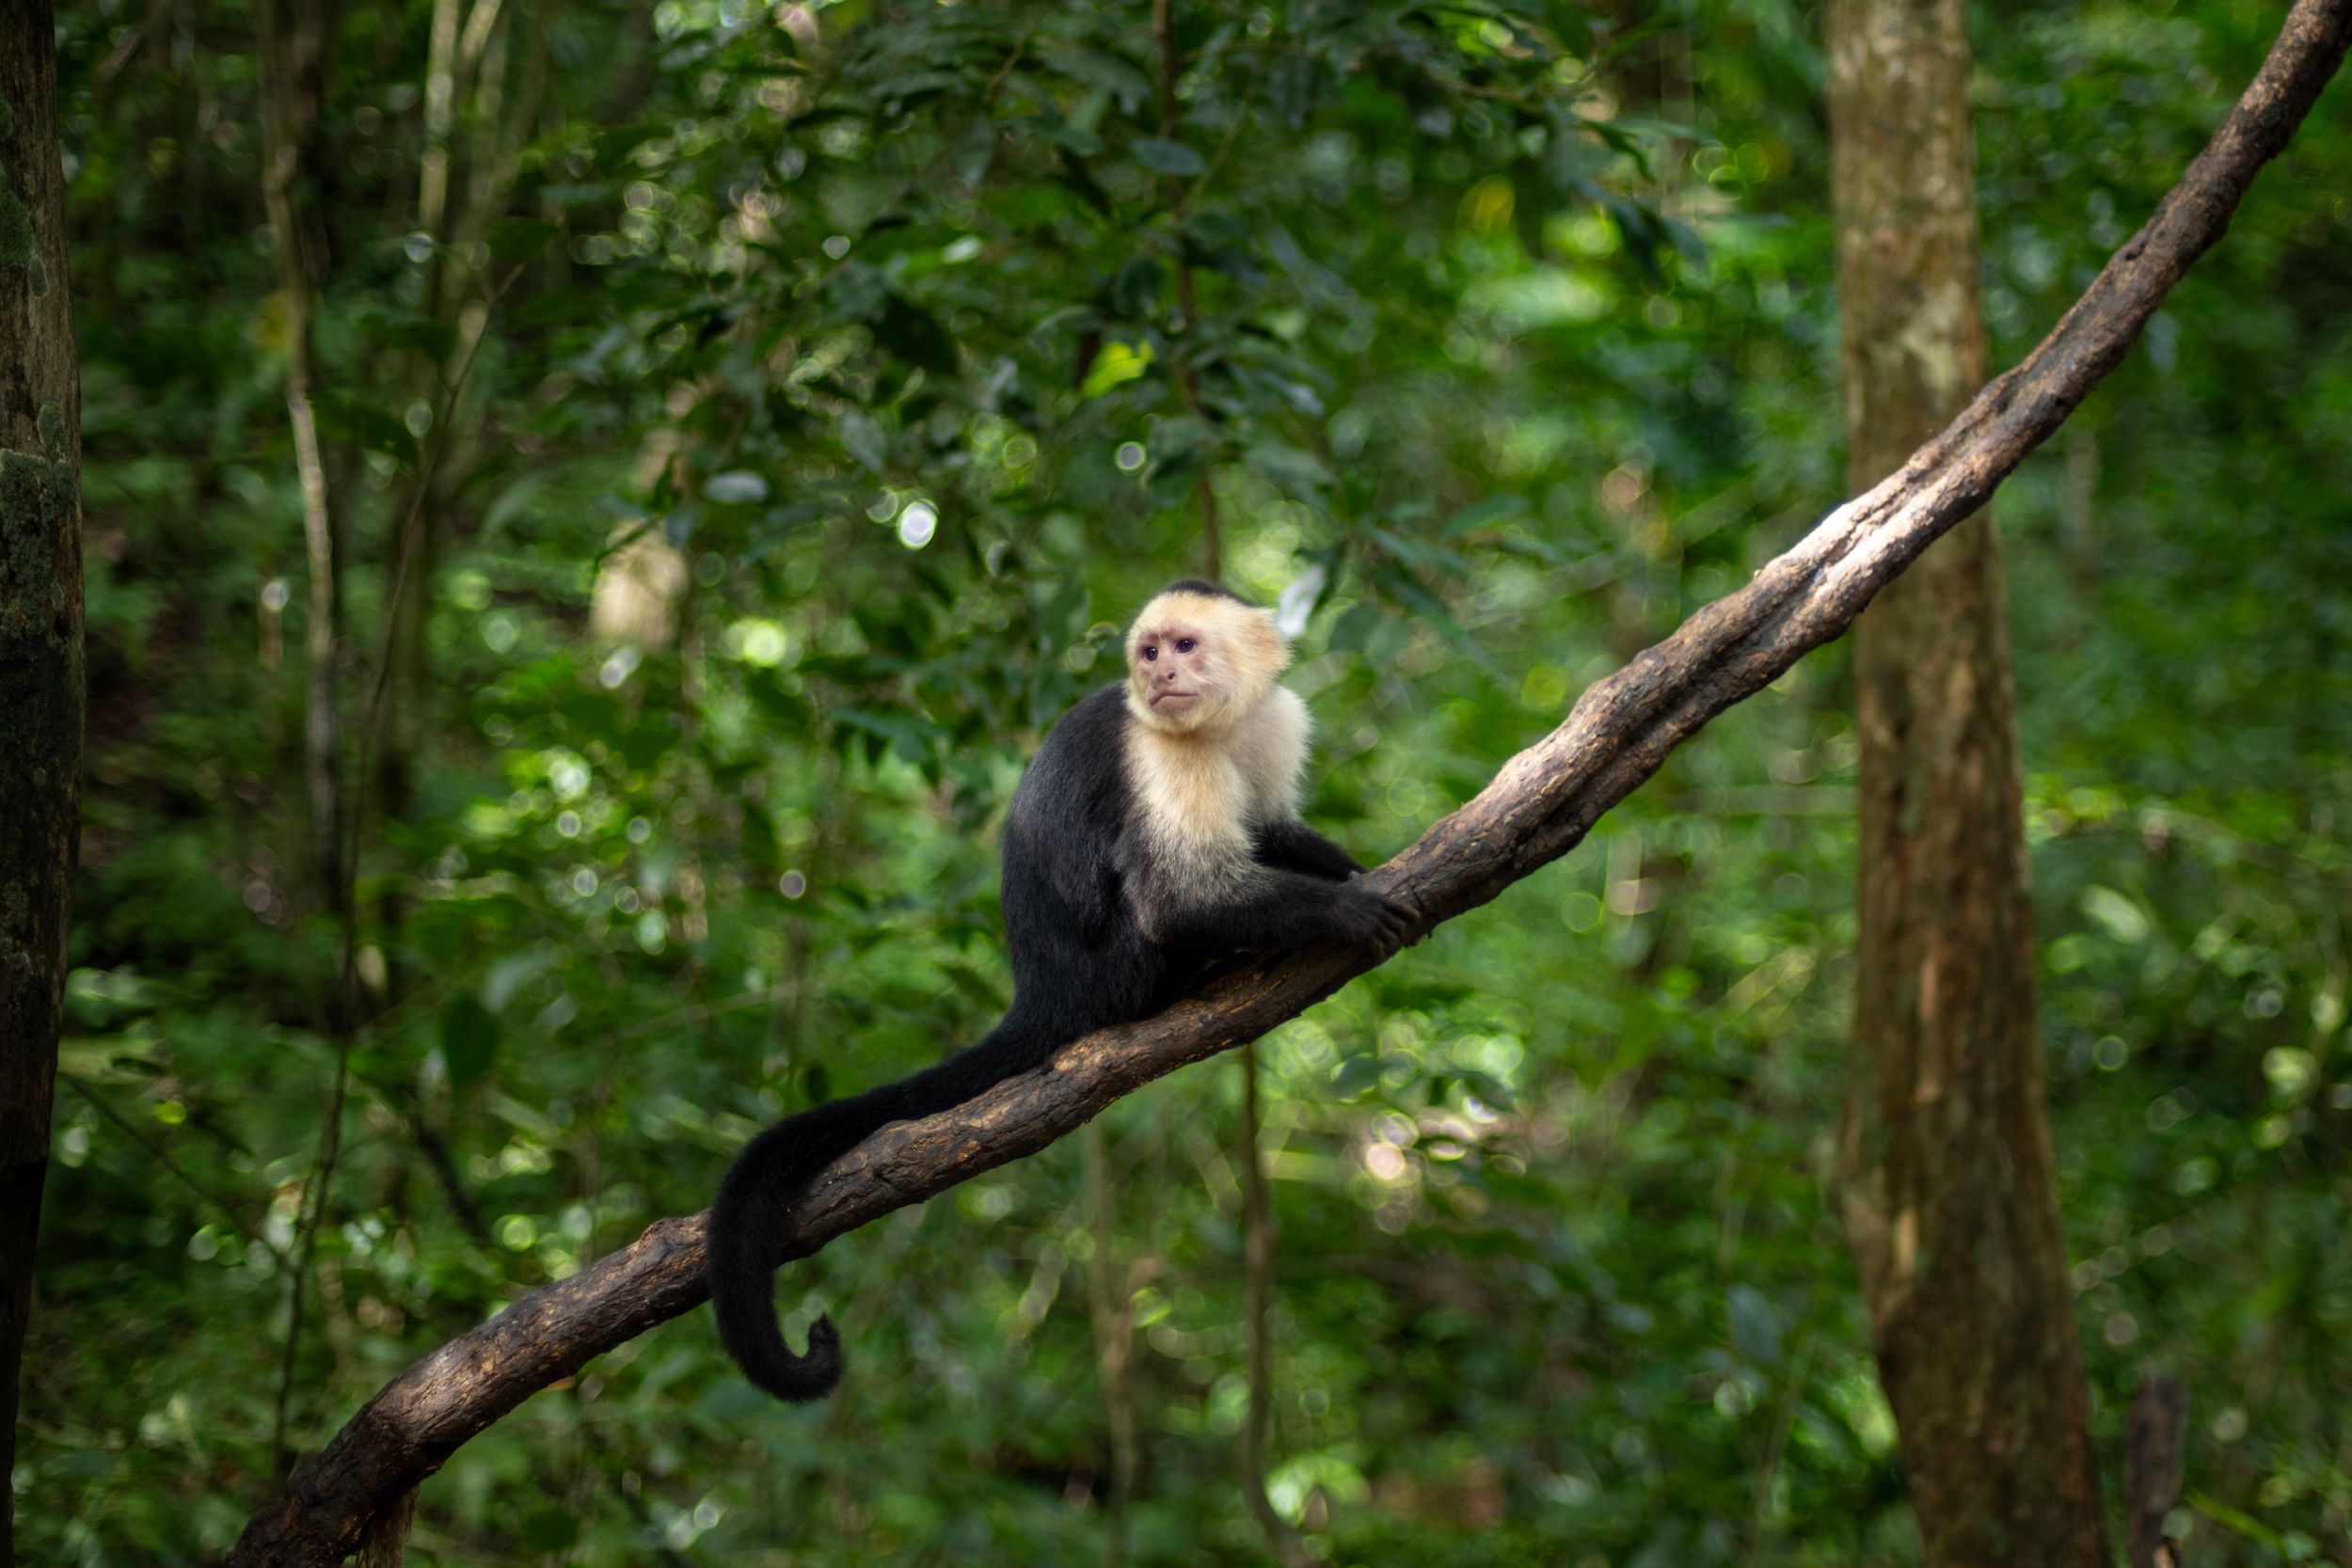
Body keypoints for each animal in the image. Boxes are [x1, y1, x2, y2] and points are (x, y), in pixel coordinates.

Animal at [707, 580, 1414, 1403]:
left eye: (1183, 647)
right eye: (1149, 652)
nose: (1158, 675)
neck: (1217, 722)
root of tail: (1043, 994)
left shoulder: (1275, 719)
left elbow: (1271, 827)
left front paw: (1349, 868)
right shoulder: (1159, 751)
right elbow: (1177, 897)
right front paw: (1344, 908)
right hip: (1115, 974)